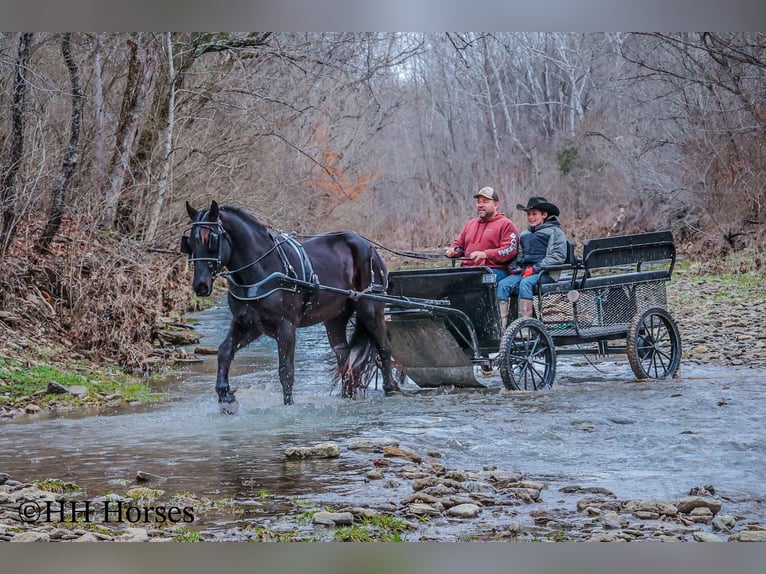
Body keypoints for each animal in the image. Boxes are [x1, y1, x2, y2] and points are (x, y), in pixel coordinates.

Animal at [183, 200, 400, 412]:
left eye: (211, 239)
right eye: (191, 242)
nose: (200, 285)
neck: (261, 269)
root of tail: (368, 246)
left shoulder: (285, 326)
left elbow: (286, 370)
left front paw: (288, 405)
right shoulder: (249, 324)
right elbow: (224, 351)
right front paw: (225, 397)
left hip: (370, 309)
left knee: (384, 347)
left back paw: (390, 389)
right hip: (335, 317)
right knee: (344, 356)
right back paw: (347, 396)